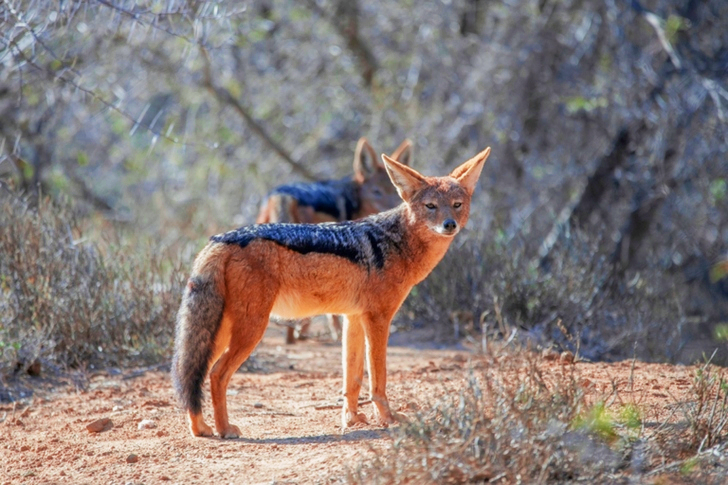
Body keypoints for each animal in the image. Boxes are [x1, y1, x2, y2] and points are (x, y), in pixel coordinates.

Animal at [256, 137, 413, 344]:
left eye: (394, 192)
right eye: (376, 192)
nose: (394, 210)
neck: (352, 199)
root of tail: (282, 194)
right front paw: (337, 332)